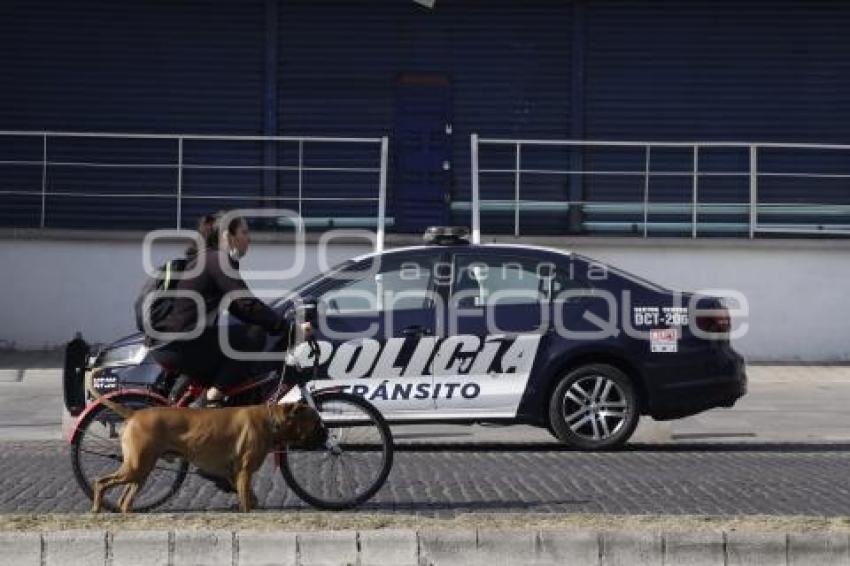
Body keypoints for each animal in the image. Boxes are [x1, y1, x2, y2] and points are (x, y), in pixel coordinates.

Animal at [92, 400, 324, 516]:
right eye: (316, 423)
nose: (326, 432)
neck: (271, 420)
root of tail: (134, 414)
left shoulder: (236, 475)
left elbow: (249, 497)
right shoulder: (244, 473)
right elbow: (247, 501)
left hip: (140, 473)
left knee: (124, 500)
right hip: (136, 468)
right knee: (101, 482)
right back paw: (96, 508)